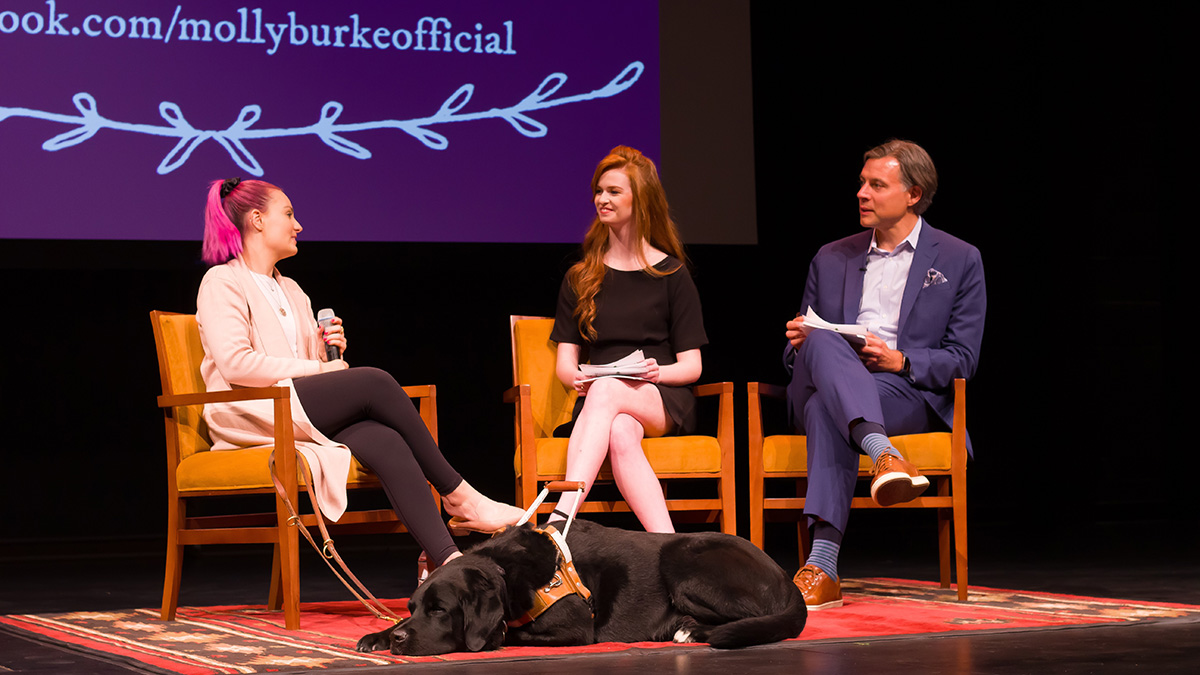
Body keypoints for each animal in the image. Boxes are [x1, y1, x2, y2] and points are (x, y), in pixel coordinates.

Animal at [355, 514, 806, 653]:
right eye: (413, 607)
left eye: (440, 610)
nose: (400, 641)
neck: (503, 570)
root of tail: (786, 580)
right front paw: (380, 634)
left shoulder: (574, 628)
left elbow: (507, 634)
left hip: (683, 558)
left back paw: (690, 630)